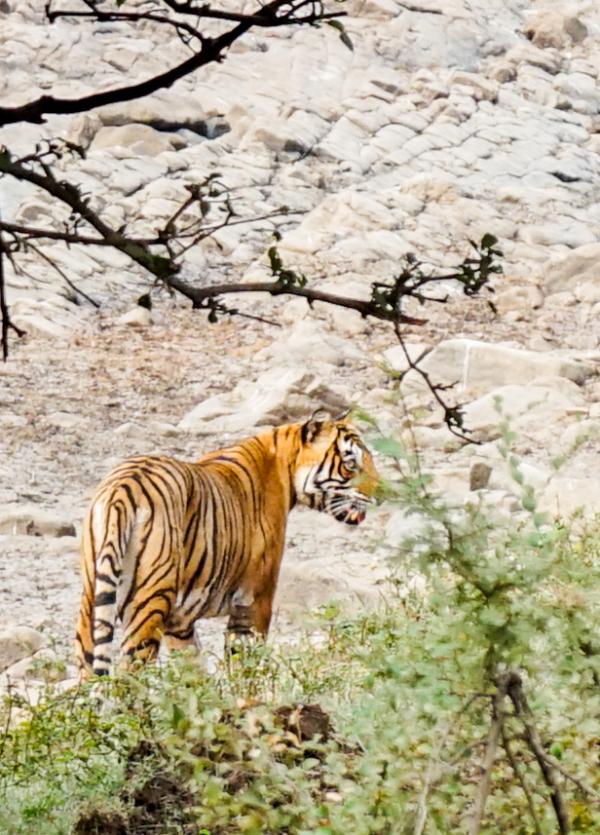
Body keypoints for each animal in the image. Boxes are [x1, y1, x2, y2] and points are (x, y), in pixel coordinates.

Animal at [74, 412, 376, 680]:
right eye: (350, 464)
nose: (380, 493)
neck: (283, 459)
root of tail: (123, 487)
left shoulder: (179, 622)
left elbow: (193, 670)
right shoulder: (255, 600)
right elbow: (245, 667)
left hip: (93, 599)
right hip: (150, 600)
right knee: (129, 674)